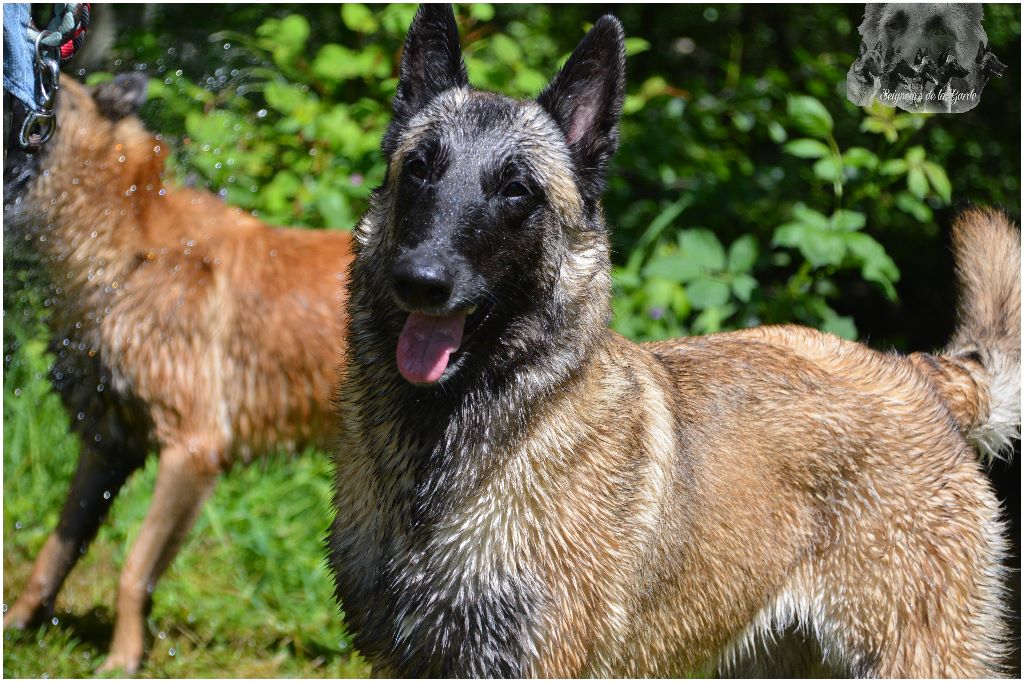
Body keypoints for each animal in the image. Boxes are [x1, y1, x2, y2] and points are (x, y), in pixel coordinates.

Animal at [2, 74, 352, 667]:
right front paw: (17, 628)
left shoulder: (193, 449)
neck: (127, 246)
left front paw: (121, 663)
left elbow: (134, 569)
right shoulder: (107, 446)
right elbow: (56, 551)